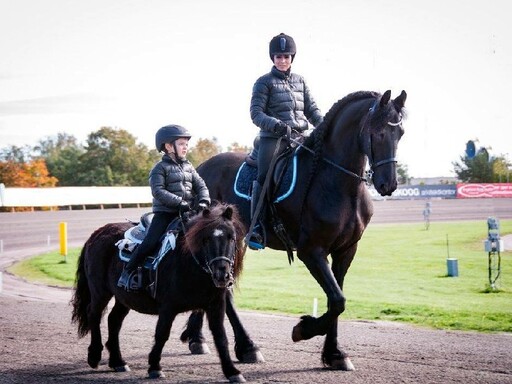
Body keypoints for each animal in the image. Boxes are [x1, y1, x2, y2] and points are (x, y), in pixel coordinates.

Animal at [71, 204, 248, 380]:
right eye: (206, 239)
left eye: (231, 237)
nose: (222, 275)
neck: (189, 263)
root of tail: (96, 234)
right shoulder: (168, 307)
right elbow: (162, 334)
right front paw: (155, 367)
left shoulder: (215, 306)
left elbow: (221, 337)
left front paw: (232, 372)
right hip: (100, 292)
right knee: (93, 314)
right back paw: (94, 356)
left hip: (123, 298)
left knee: (113, 320)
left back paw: (118, 362)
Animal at [184, 89, 408, 368]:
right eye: (378, 132)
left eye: (400, 133)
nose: (389, 183)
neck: (335, 181)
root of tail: (200, 169)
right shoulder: (311, 251)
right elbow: (337, 301)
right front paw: (304, 329)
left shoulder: (345, 251)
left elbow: (336, 299)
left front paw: (334, 354)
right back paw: (245, 346)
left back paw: (205, 339)